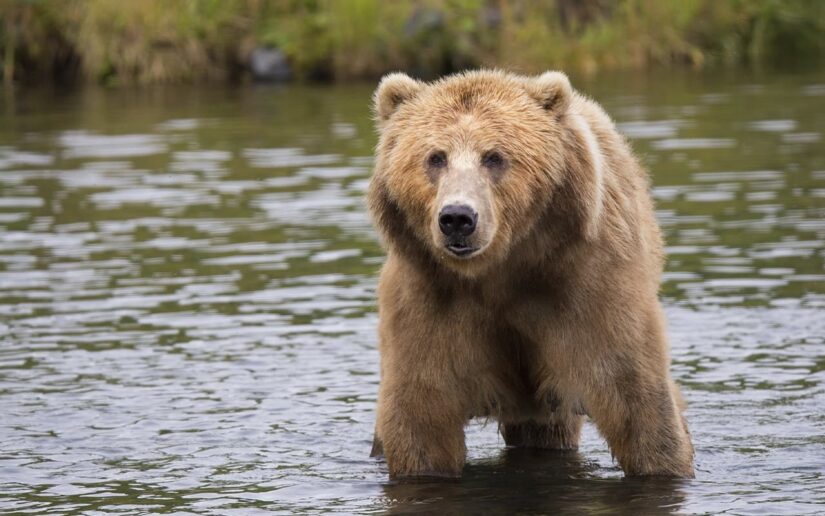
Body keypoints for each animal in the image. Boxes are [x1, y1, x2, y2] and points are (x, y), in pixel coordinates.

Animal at [364, 69, 692, 480]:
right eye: (435, 157)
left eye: (494, 157)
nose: (457, 217)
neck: (502, 269)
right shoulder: (430, 298)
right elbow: (422, 413)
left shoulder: (587, 285)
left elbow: (635, 396)